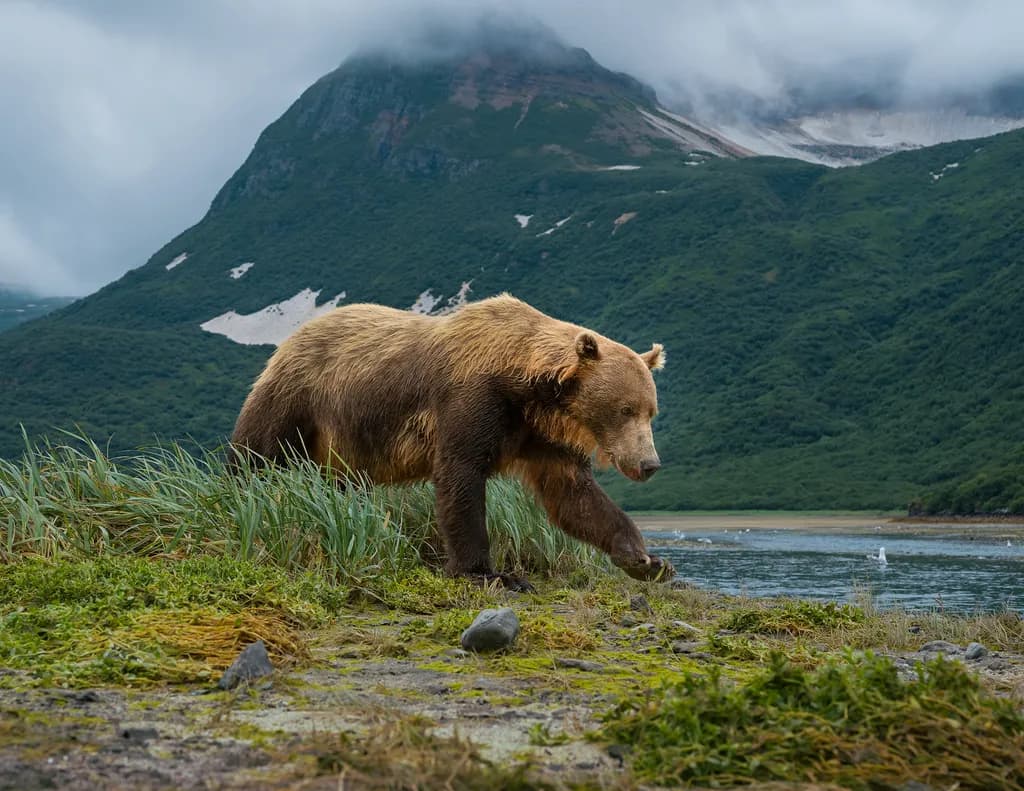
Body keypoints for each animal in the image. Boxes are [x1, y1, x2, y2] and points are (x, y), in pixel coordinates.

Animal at [230, 293, 673, 589]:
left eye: (650, 411)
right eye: (625, 409)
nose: (649, 464)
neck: (530, 390)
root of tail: (292, 338)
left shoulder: (541, 435)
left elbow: (574, 496)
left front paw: (646, 559)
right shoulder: (473, 398)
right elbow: (461, 476)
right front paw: (489, 573)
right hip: (298, 398)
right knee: (256, 456)